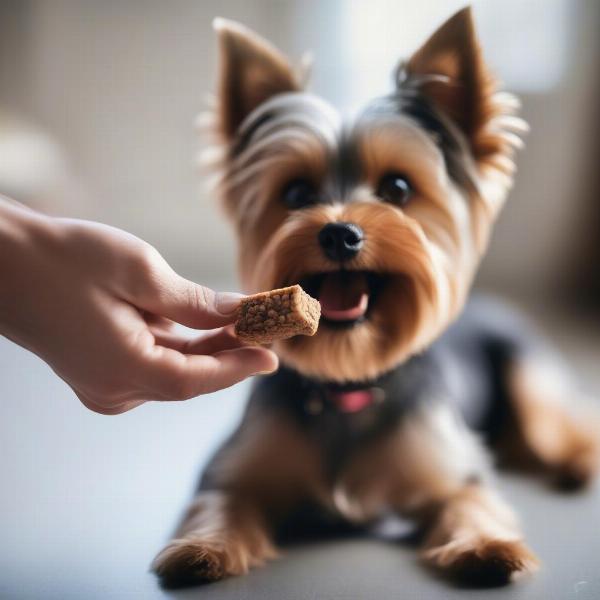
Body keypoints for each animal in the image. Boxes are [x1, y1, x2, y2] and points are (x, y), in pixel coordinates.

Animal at [151, 7, 600, 588]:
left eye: (399, 189)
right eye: (296, 193)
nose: (340, 233)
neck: (350, 379)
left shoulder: (453, 464)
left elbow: (472, 498)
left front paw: (487, 546)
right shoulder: (231, 467)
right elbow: (220, 499)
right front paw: (200, 548)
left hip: (525, 365)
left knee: (558, 419)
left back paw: (576, 460)